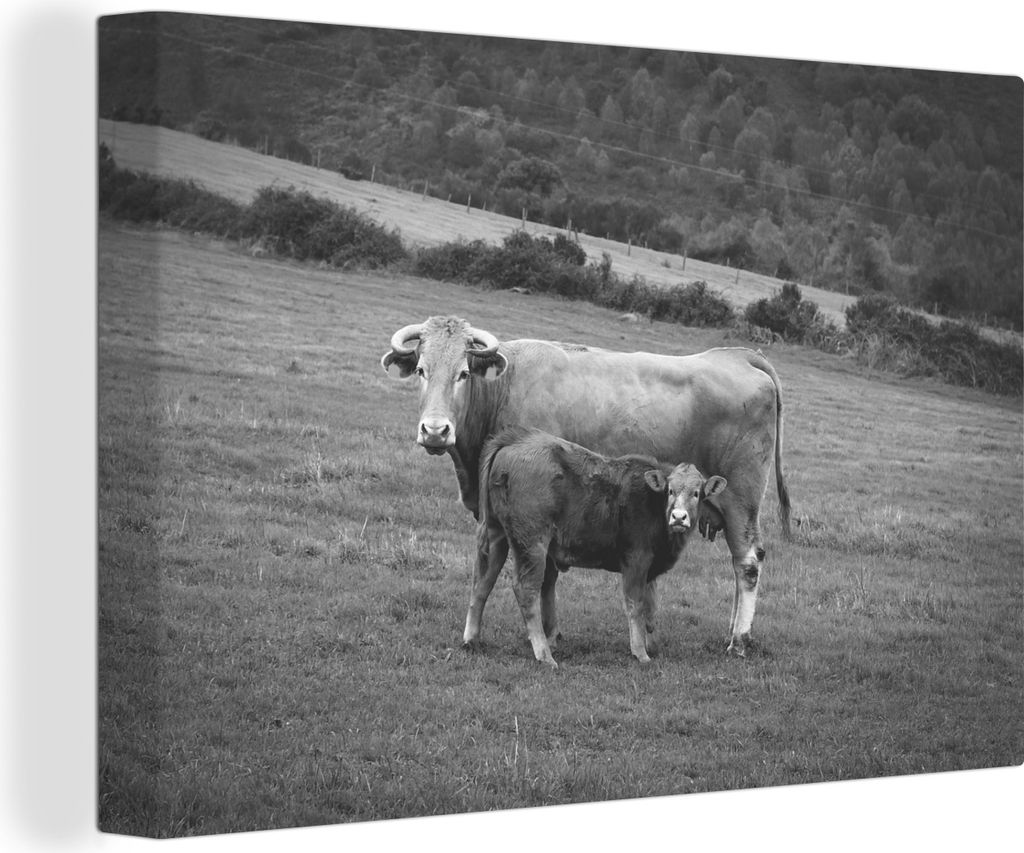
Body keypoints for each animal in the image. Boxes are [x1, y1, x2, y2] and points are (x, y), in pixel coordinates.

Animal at [479, 426, 727, 666]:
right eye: (670, 491)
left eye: (697, 493)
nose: (678, 517)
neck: (652, 502)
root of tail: (514, 440)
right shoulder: (636, 561)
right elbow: (635, 605)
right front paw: (640, 652)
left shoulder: (650, 569)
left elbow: (651, 607)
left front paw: (652, 646)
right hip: (532, 544)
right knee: (527, 589)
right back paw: (544, 654)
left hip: (496, 533)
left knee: (483, 580)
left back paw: (473, 639)